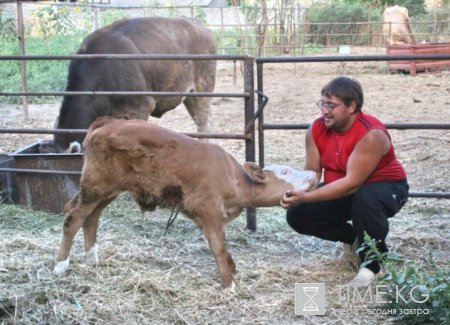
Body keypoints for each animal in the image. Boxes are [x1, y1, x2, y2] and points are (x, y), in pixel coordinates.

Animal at [54, 117, 318, 288]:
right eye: (284, 171)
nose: (314, 175)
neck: (234, 179)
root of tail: (107, 122)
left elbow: (223, 247)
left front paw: (231, 271)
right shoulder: (208, 212)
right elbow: (218, 247)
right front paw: (228, 285)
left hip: (106, 191)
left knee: (90, 217)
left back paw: (92, 258)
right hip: (95, 187)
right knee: (73, 217)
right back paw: (61, 266)